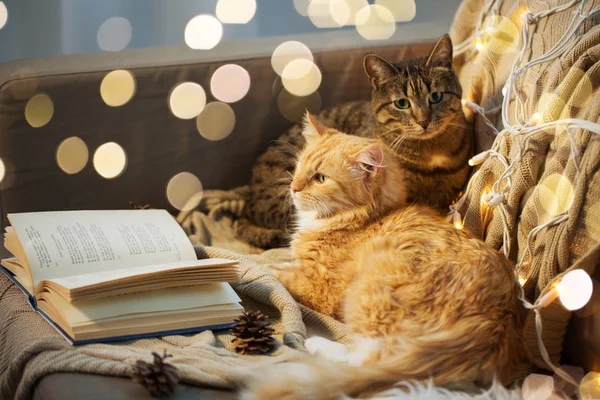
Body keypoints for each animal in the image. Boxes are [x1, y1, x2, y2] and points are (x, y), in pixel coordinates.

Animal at [241, 114, 524, 398]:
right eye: (299, 167)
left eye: (320, 178)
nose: (293, 187)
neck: (362, 219)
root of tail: (493, 323)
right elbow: (280, 263)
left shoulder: (319, 288)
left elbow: (271, 271)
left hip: (370, 296)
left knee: (367, 357)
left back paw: (317, 345)